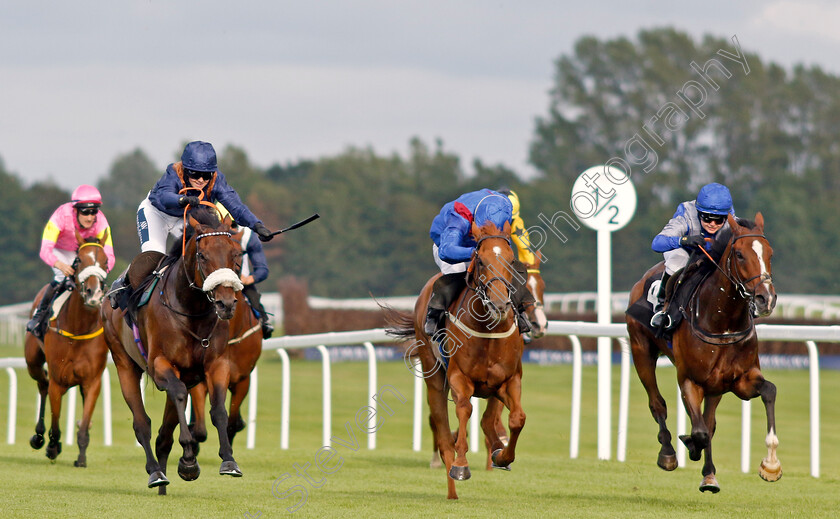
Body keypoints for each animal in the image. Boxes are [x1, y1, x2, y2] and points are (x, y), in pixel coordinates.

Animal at [24, 231, 109, 468]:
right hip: (33, 362)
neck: (79, 329)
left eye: (106, 261)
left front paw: (81, 457)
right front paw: (53, 446)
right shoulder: (58, 380)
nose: (93, 294)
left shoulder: (93, 381)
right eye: (79, 260)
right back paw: (38, 437)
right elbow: (55, 420)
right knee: (42, 384)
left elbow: (85, 423)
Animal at [102, 205, 246, 490]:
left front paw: (228, 460)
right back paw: (156, 472)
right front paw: (189, 460)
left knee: (163, 436)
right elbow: (178, 394)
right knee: (142, 424)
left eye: (235, 254)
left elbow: (219, 408)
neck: (192, 309)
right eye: (202, 255)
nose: (225, 304)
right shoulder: (161, 365)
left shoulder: (216, 364)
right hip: (125, 363)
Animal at [388, 219, 524, 500]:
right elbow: (464, 411)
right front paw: (461, 465)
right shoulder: (459, 378)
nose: (499, 304)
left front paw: (503, 456)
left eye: (510, 259)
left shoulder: (509, 380)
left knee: (488, 421)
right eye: (480, 260)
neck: (488, 331)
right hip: (434, 380)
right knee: (443, 438)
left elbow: (517, 418)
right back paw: (452, 489)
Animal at [628, 213, 776, 494]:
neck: (722, 321)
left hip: (715, 386)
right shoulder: (690, 379)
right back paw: (668, 453)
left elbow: (769, 391)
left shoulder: (739, 380)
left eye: (770, 252)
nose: (766, 298)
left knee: (708, 421)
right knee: (658, 404)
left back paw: (709, 475)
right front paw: (689, 445)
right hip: (641, 350)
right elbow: (699, 432)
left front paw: (771, 465)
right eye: (739, 254)